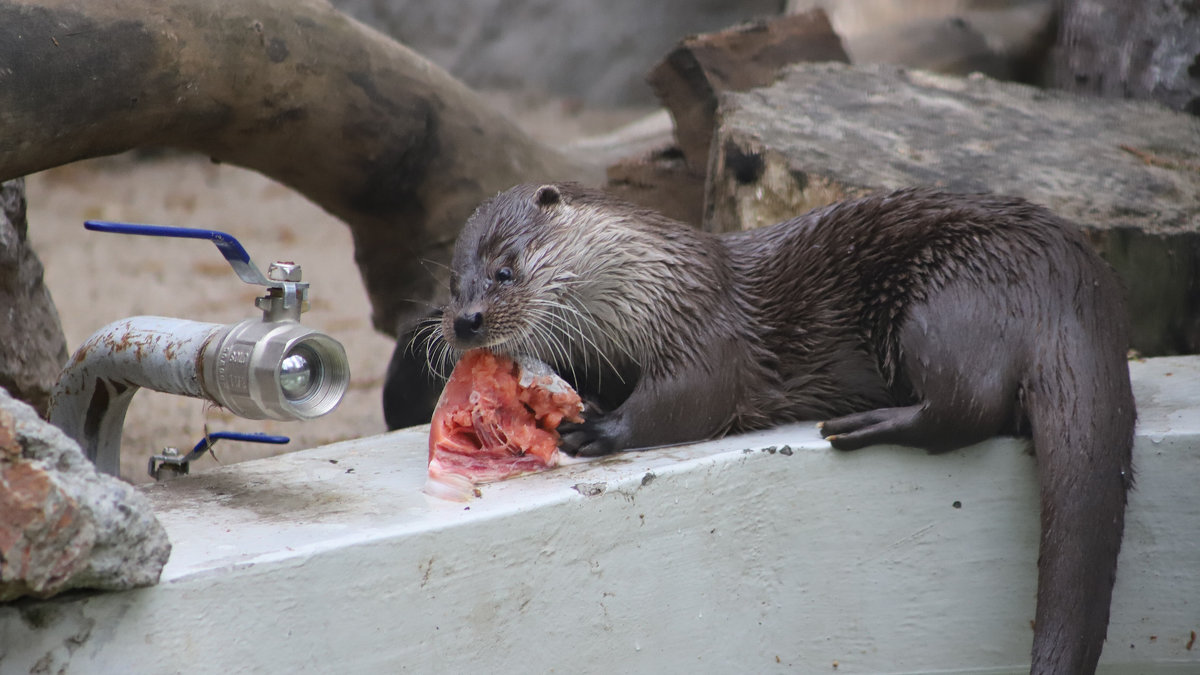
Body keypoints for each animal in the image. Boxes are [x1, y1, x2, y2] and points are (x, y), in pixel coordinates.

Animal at [391, 181, 1132, 667]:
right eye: (454, 283)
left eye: (504, 269)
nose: (464, 321)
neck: (650, 290)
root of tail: (1075, 282)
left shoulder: (704, 332)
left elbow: (689, 400)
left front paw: (597, 431)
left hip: (944, 293)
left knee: (969, 404)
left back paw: (863, 423)